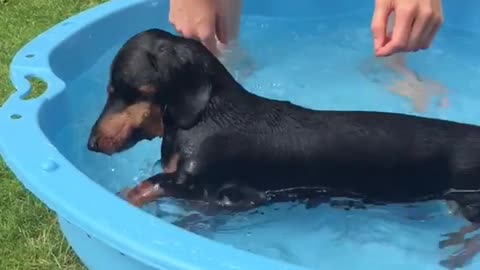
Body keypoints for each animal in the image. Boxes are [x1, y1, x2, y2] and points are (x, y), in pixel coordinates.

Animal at [87, 29, 480, 268]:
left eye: (120, 89)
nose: (91, 144)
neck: (206, 116)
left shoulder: (200, 184)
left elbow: (144, 187)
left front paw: (121, 199)